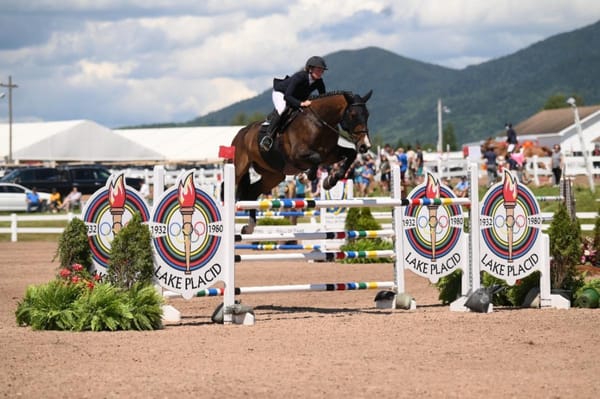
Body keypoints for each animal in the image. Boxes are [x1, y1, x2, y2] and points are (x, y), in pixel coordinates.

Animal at [232, 90, 372, 234]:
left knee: (253, 192)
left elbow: (351, 154)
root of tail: (242, 132)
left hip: (273, 175)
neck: (319, 123)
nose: (365, 146)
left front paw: (330, 180)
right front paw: (309, 176)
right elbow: (316, 158)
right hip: (239, 168)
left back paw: (249, 227)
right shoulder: (297, 155)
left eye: (367, 115)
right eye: (353, 115)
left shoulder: (330, 154)